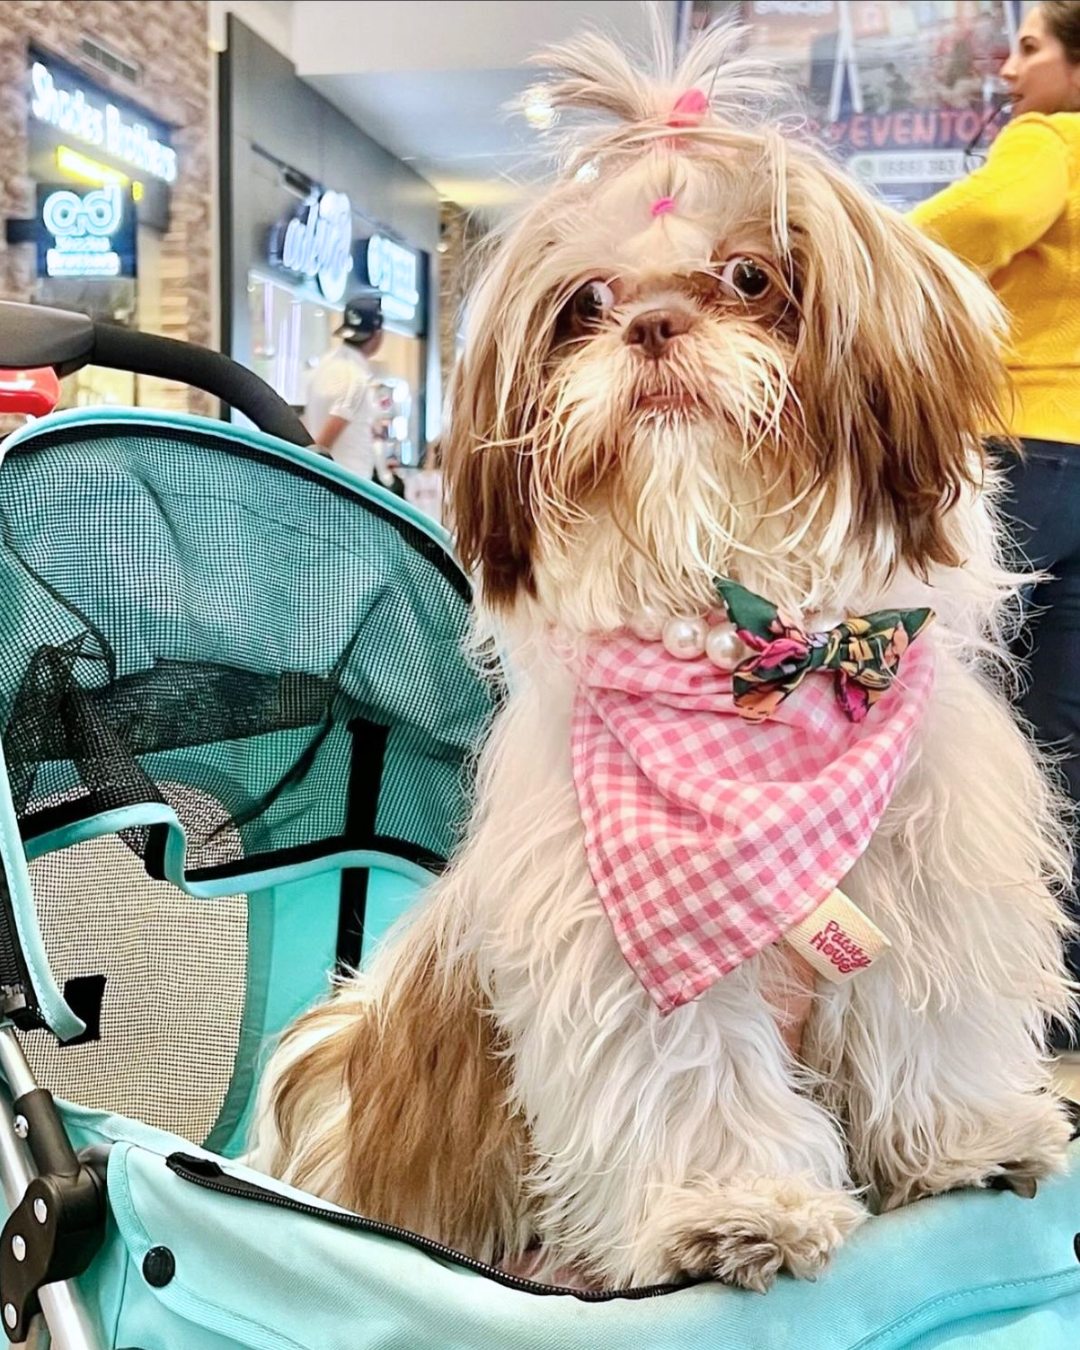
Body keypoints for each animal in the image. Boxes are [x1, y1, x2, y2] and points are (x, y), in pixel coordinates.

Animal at [251, 15, 1069, 1290]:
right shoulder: (615, 944)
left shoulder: (930, 871)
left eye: (752, 277)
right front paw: (735, 1206)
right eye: (584, 304)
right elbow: (691, 1074)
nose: (649, 325)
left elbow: (928, 1022)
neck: (755, 674)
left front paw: (964, 1143)